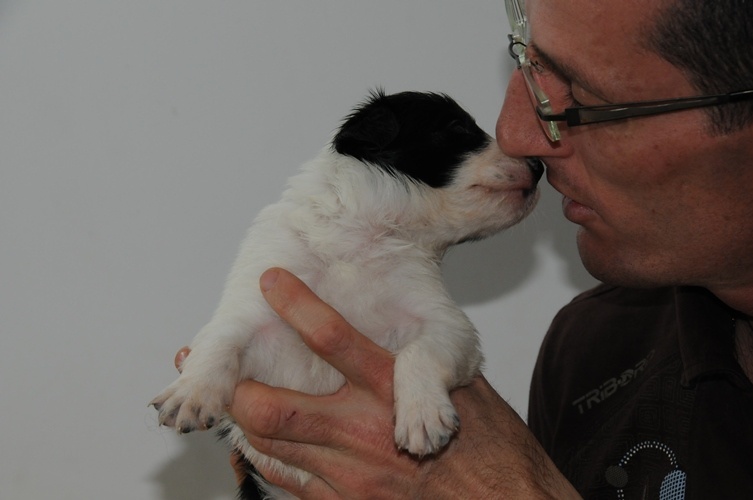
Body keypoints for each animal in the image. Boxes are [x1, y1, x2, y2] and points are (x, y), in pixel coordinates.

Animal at [151, 91, 540, 500]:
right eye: (457, 127)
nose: (538, 165)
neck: (362, 239)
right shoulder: (255, 305)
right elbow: (221, 341)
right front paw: (191, 393)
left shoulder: (445, 320)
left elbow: (420, 352)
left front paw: (421, 414)